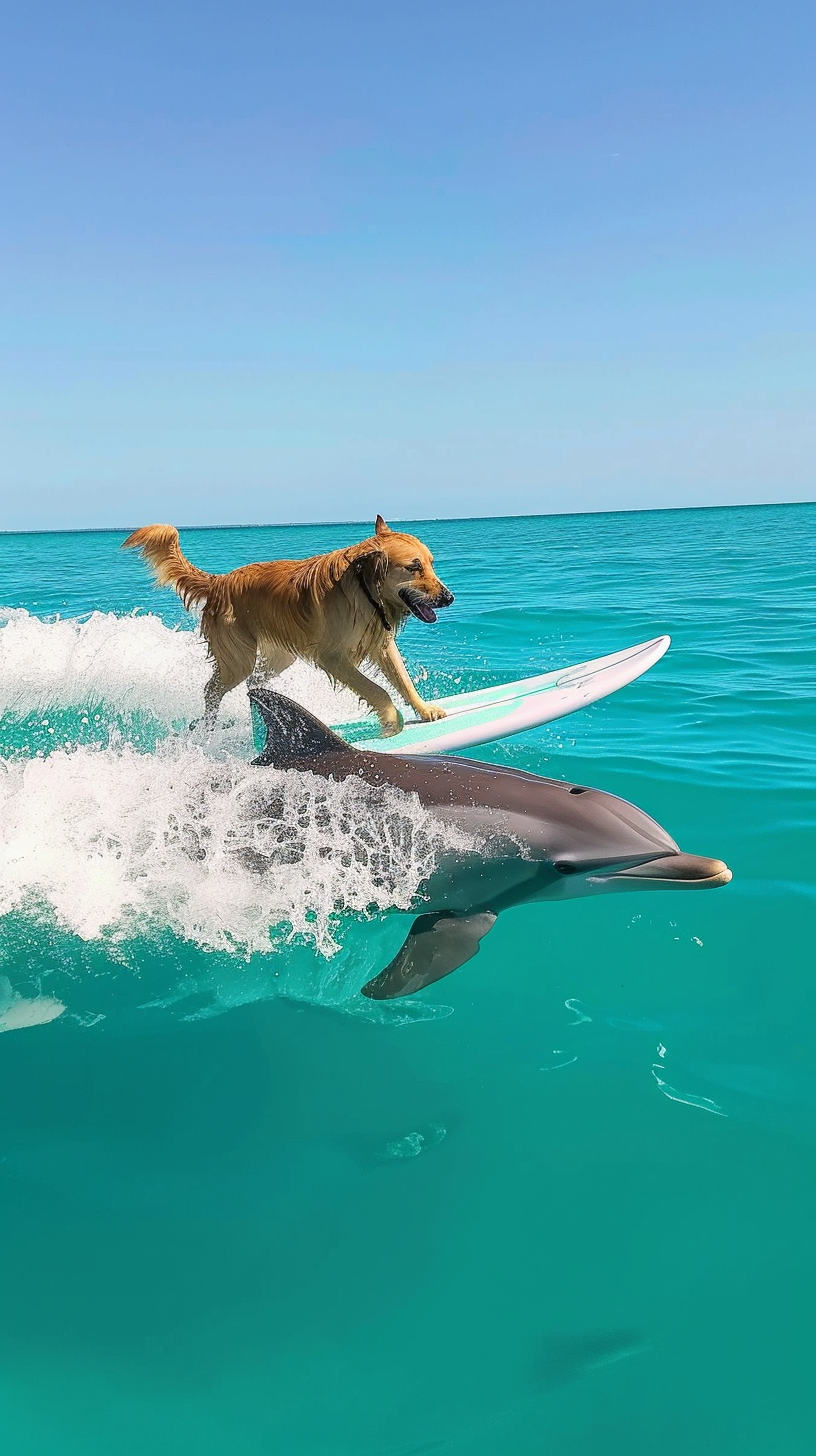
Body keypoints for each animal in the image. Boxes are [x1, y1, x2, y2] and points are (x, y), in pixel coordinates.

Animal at [122, 518, 451, 733]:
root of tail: (219, 582)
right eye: (414, 567)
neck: (364, 587)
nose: (449, 598)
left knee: (253, 683)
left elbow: (403, 680)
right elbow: (376, 689)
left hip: (280, 657)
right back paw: (207, 726)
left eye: (431, 563)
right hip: (237, 659)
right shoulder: (332, 657)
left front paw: (425, 709)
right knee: (212, 690)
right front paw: (392, 720)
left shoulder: (382, 645)